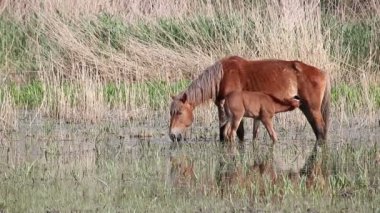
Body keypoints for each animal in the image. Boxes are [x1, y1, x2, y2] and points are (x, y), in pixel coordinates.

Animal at [169, 55, 330, 144]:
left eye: (179, 113)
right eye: (171, 113)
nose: (172, 135)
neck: (223, 76)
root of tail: (322, 73)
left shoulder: (237, 114)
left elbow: (239, 134)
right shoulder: (223, 109)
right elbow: (223, 133)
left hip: (313, 109)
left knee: (321, 130)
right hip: (306, 108)